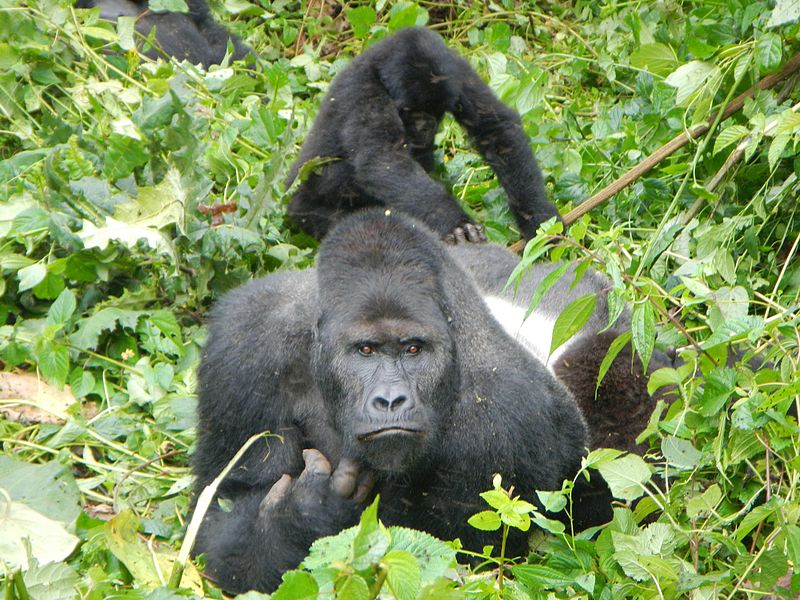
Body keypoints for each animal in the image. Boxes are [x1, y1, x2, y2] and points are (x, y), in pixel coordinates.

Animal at [194, 209, 608, 592]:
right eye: (366, 350)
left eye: (413, 349)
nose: (390, 400)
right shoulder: (246, 343)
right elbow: (219, 510)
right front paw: (303, 513)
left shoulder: (508, 418)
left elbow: (453, 561)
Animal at [286, 27, 556, 244]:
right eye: (411, 111)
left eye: (438, 111)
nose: (426, 127)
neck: (379, 66)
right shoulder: (362, 91)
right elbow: (383, 159)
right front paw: (453, 221)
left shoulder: (457, 69)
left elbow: (494, 128)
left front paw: (539, 217)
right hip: (303, 205)